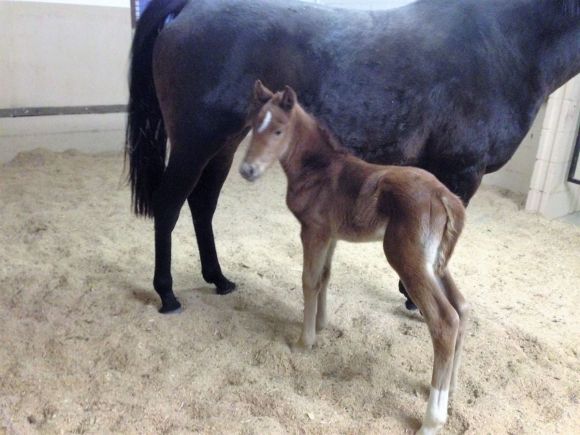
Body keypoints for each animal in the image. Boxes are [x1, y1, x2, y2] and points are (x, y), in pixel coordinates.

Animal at [240, 82, 472, 435]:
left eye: (278, 130)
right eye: (254, 126)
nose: (247, 170)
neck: (319, 170)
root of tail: (446, 196)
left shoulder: (313, 230)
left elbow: (308, 280)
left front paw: (304, 340)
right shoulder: (331, 235)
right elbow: (324, 277)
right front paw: (320, 324)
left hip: (408, 259)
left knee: (445, 321)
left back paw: (432, 420)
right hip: (435, 263)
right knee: (462, 307)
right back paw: (452, 388)